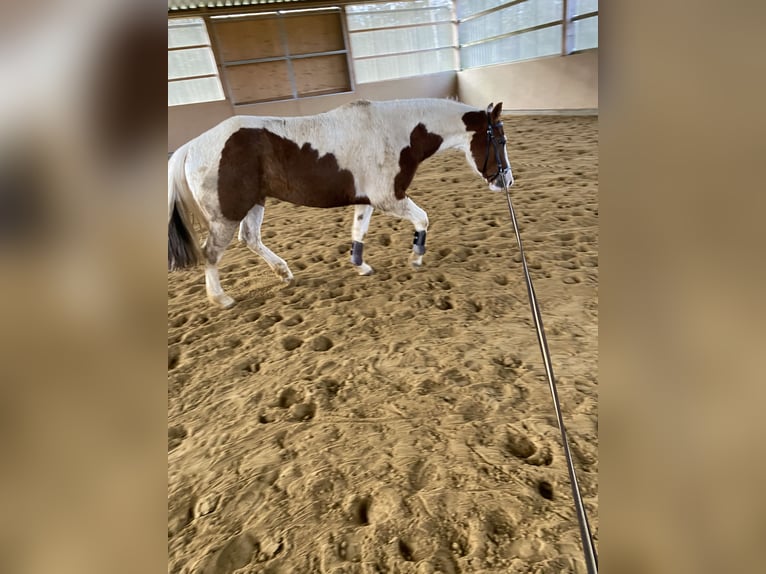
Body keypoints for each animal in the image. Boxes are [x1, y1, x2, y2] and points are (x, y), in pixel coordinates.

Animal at [169, 98, 516, 310]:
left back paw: (284, 273)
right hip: (225, 215)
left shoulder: (368, 200)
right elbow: (423, 219)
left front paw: (360, 265)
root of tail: (189, 148)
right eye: (500, 140)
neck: (397, 132)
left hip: (254, 203)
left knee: (250, 238)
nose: (506, 181)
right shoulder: (389, 198)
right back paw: (221, 298)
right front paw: (416, 257)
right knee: (211, 252)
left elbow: (358, 232)